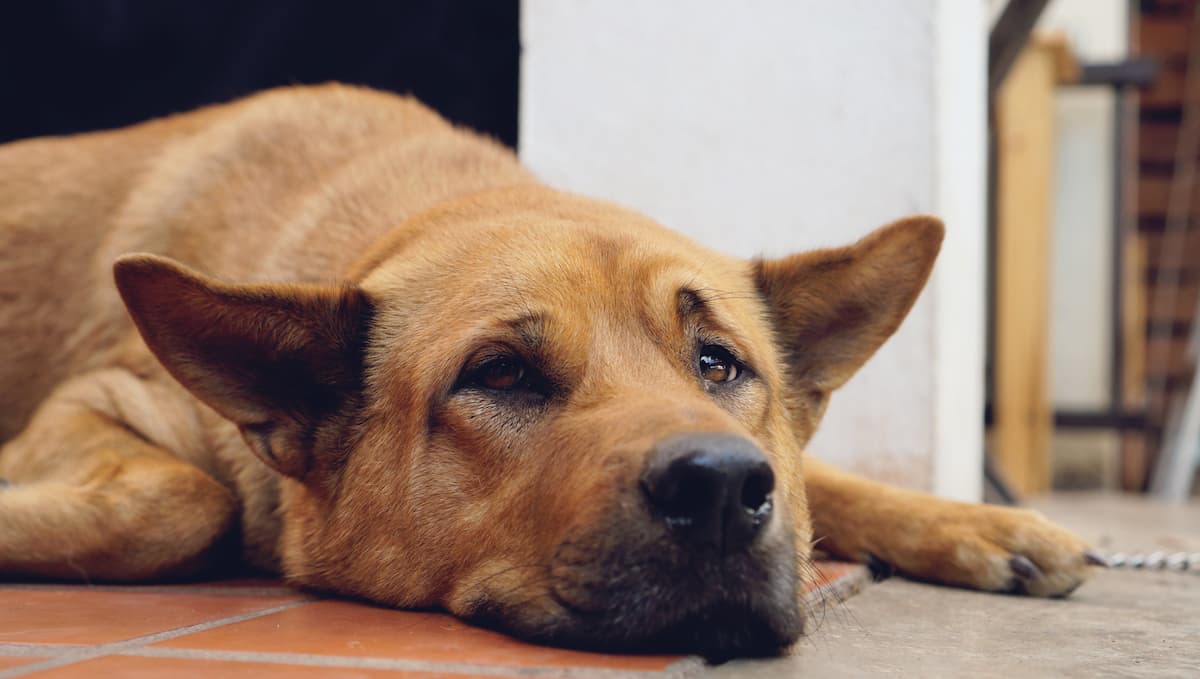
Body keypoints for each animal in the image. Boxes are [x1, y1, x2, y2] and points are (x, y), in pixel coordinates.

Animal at [0, 83, 1099, 662]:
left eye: (718, 362)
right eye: (502, 374)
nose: (721, 485)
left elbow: (826, 480)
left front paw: (989, 524)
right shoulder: (102, 402)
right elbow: (184, 502)